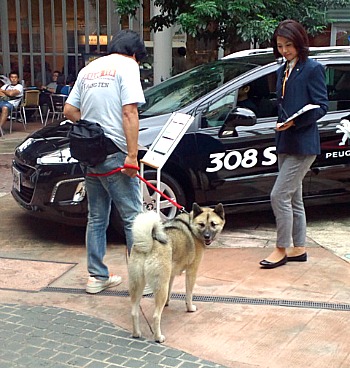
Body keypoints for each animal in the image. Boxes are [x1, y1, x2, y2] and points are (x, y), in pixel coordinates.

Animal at [128, 201, 224, 342]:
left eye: (213, 224)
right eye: (201, 224)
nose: (207, 236)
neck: (191, 225)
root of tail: (149, 244)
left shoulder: (171, 275)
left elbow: (170, 291)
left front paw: (167, 304)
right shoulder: (192, 272)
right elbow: (189, 294)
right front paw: (190, 308)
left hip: (137, 285)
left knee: (134, 312)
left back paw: (136, 333)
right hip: (160, 286)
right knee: (156, 316)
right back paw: (158, 337)